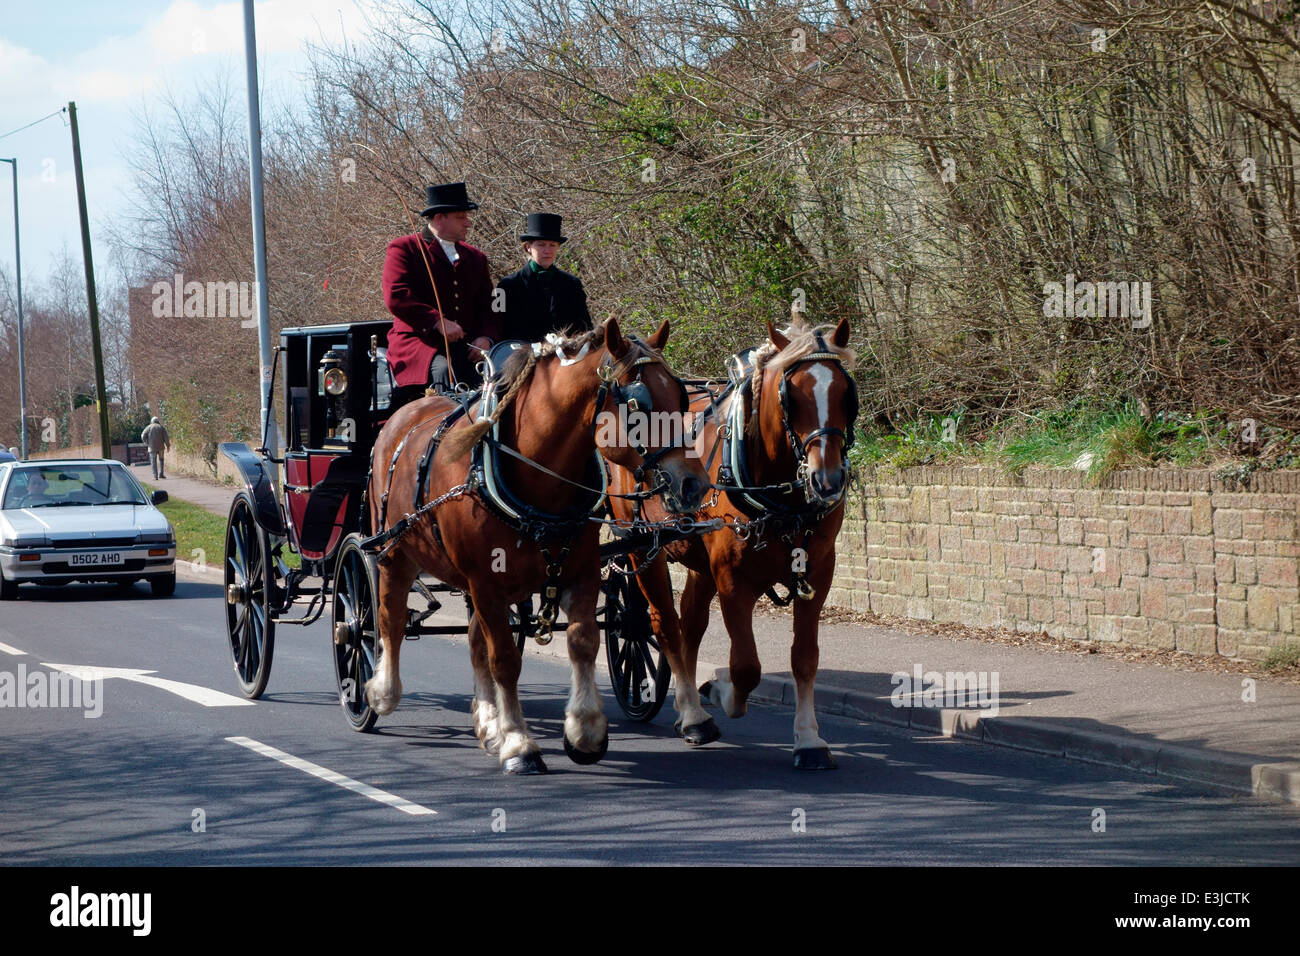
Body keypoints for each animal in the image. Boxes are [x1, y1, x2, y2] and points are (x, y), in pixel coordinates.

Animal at [364, 318, 710, 774]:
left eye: (682, 396)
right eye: (638, 403)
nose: (694, 484)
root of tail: (402, 415)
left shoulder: (578, 572)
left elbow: (582, 641)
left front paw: (584, 729)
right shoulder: (485, 583)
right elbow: (506, 660)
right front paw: (518, 743)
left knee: (474, 641)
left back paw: (487, 721)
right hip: (395, 554)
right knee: (388, 618)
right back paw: (381, 691)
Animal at [608, 316, 858, 769]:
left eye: (845, 394)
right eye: (792, 397)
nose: (827, 480)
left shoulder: (818, 573)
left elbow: (804, 657)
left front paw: (809, 739)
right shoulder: (732, 579)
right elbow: (745, 666)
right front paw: (722, 693)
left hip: (697, 559)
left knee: (689, 625)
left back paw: (687, 709)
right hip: (640, 546)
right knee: (663, 625)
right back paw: (694, 716)